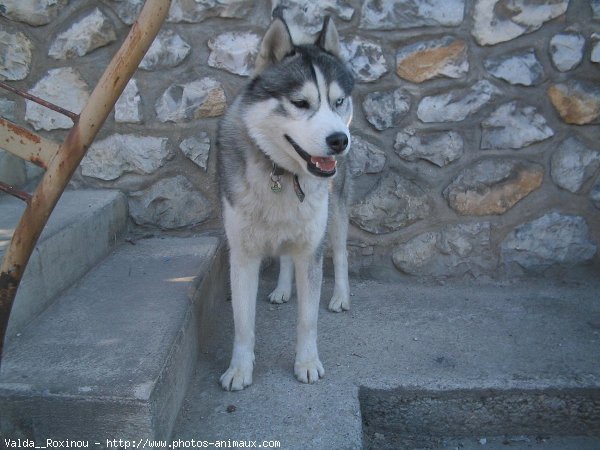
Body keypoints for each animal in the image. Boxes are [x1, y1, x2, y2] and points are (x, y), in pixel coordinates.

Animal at [217, 14, 354, 390]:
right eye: (300, 103)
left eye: (338, 101)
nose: (340, 140)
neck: (280, 172)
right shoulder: (242, 254)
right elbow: (242, 323)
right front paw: (239, 369)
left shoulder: (311, 249)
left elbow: (308, 319)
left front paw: (306, 363)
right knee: (284, 256)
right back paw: (281, 289)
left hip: (336, 214)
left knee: (341, 253)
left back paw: (341, 296)